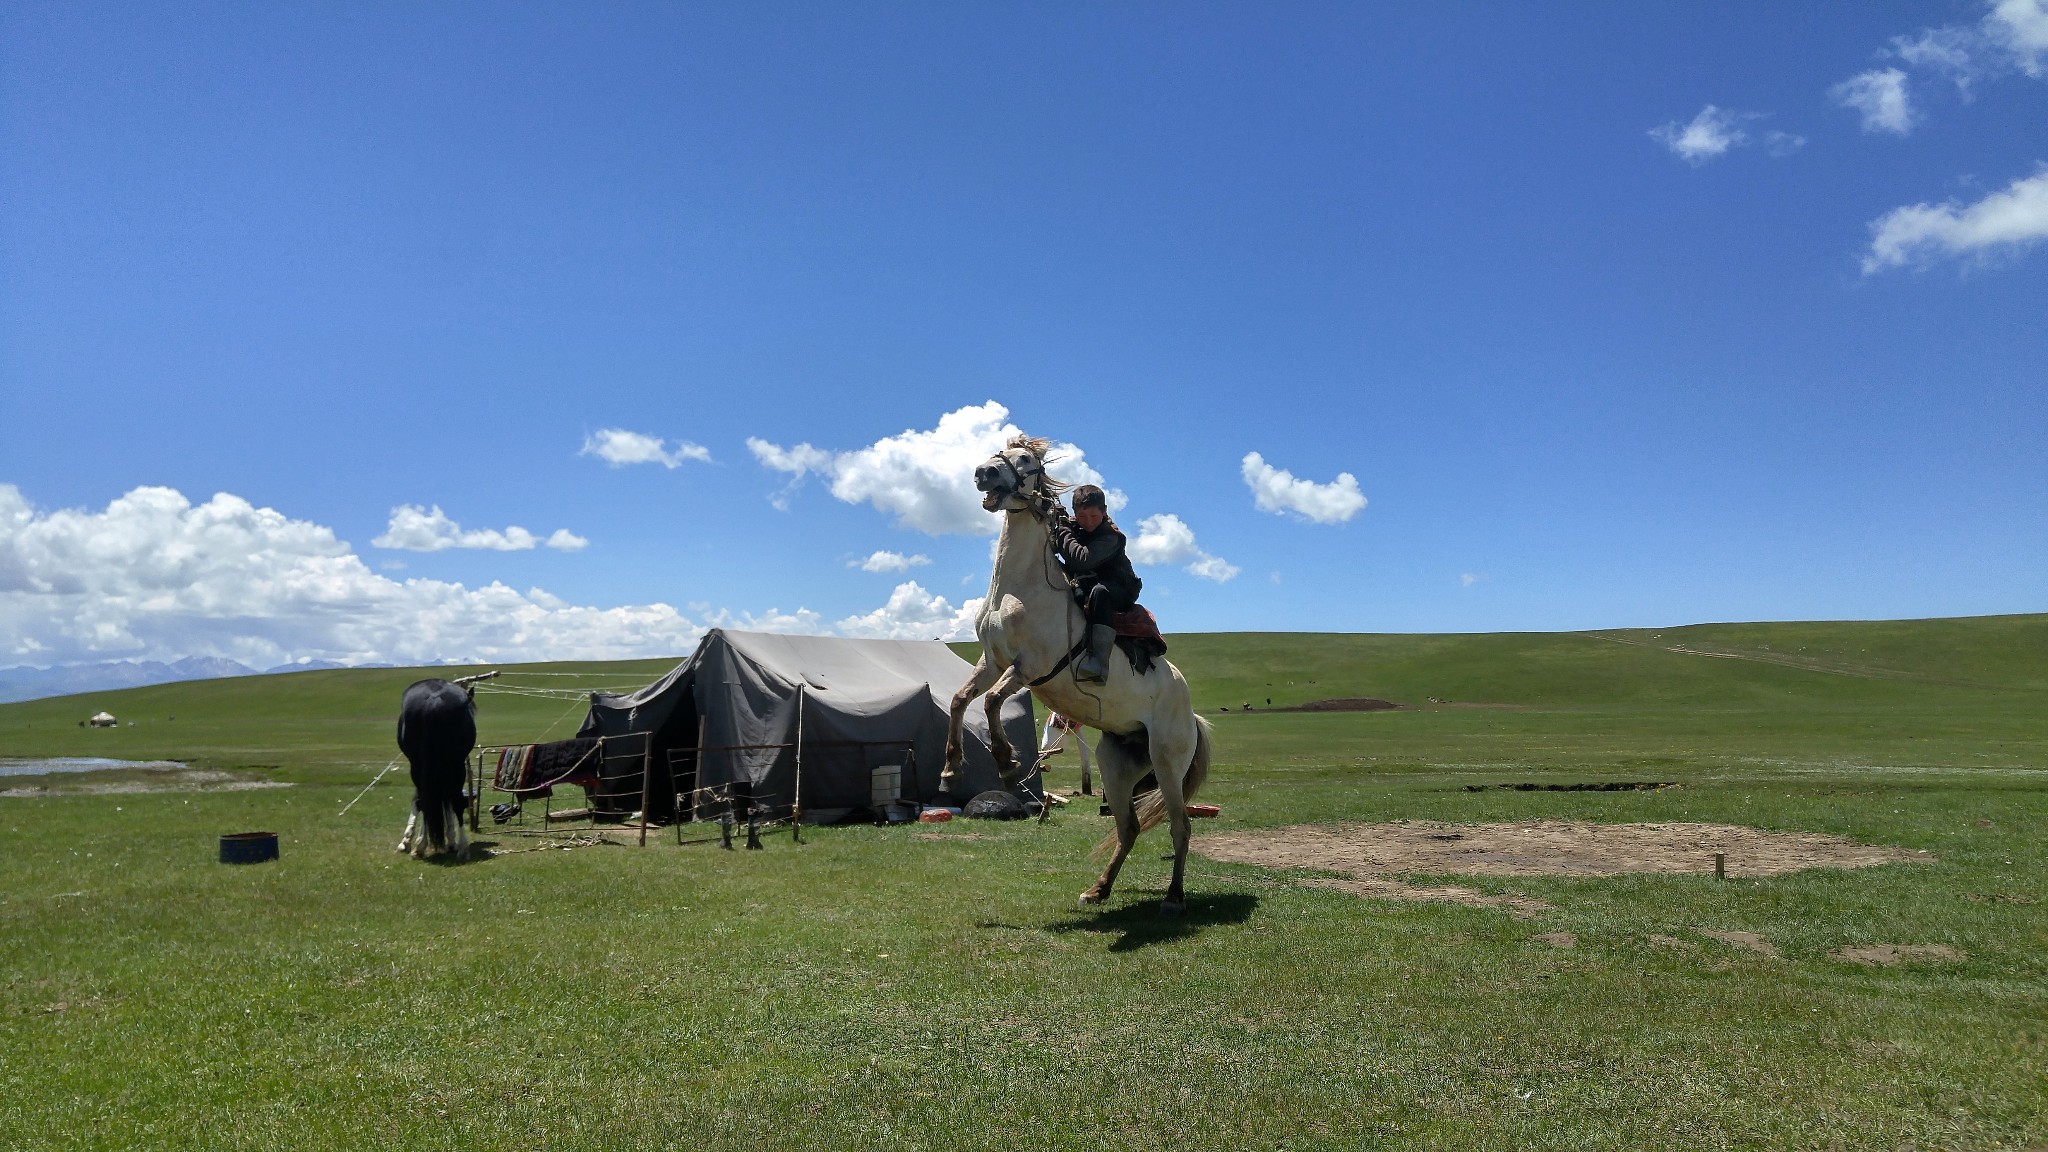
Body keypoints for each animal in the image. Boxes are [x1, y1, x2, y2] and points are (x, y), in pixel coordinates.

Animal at [393, 676, 473, 856]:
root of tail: (433, 700)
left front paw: (408, 841)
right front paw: (452, 841)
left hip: (419, 767)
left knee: (426, 801)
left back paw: (421, 845)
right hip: (453, 766)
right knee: (453, 801)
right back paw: (461, 847)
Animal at [942, 434, 1212, 910]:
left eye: (1025, 459)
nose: (983, 473)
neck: (1020, 586)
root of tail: (1190, 712)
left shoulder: (1028, 666)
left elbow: (991, 701)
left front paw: (1008, 763)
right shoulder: (992, 661)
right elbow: (961, 699)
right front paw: (951, 767)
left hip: (1167, 765)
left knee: (1180, 826)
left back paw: (1174, 897)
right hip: (1116, 767)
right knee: (1129, 827)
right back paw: (1099, 889)